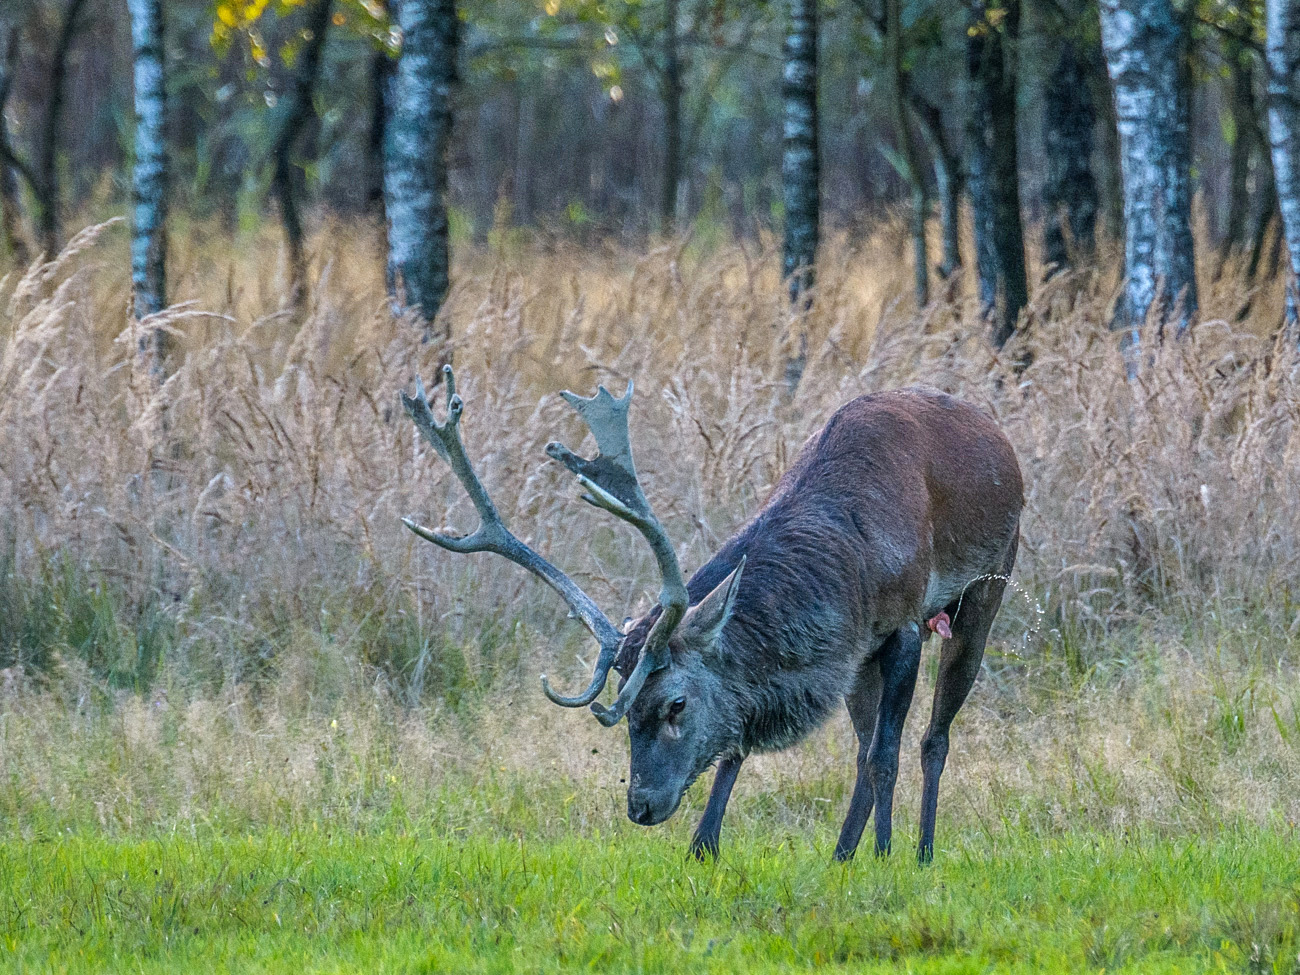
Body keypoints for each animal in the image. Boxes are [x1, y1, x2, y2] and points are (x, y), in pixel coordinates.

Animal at [400, 366, 1019, 863]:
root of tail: (995, 432)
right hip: (864, 663)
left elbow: (886, 756)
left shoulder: (903, 626)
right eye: (625, 709)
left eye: (676, 704)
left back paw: (921, 852)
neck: (851, 570)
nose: (642, 806)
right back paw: (842, 854)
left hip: (987, 588)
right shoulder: (845, 650)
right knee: (866, 746)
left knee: (932, 739)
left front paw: (885, 855)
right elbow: (740, 743)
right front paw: (704, 844)